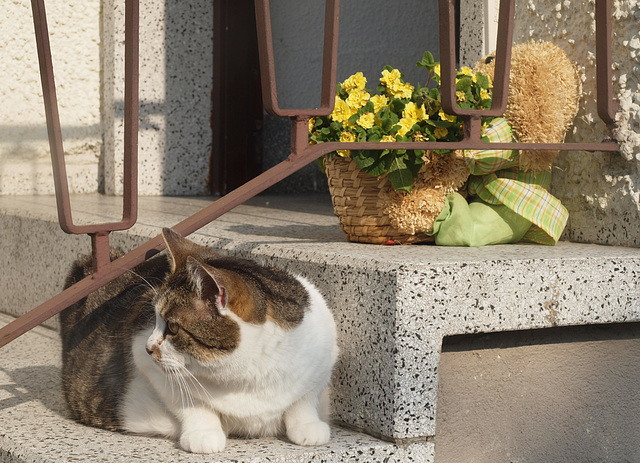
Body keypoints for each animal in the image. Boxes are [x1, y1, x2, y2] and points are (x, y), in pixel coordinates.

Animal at [58, 228, 340, 454]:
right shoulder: (145, 361)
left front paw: (308, 425)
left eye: (172, 327)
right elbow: (191, 403)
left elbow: (304, 398)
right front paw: (204, 434)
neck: (252, 376)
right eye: (153, 318)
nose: (149, 348)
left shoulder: (323, 354)